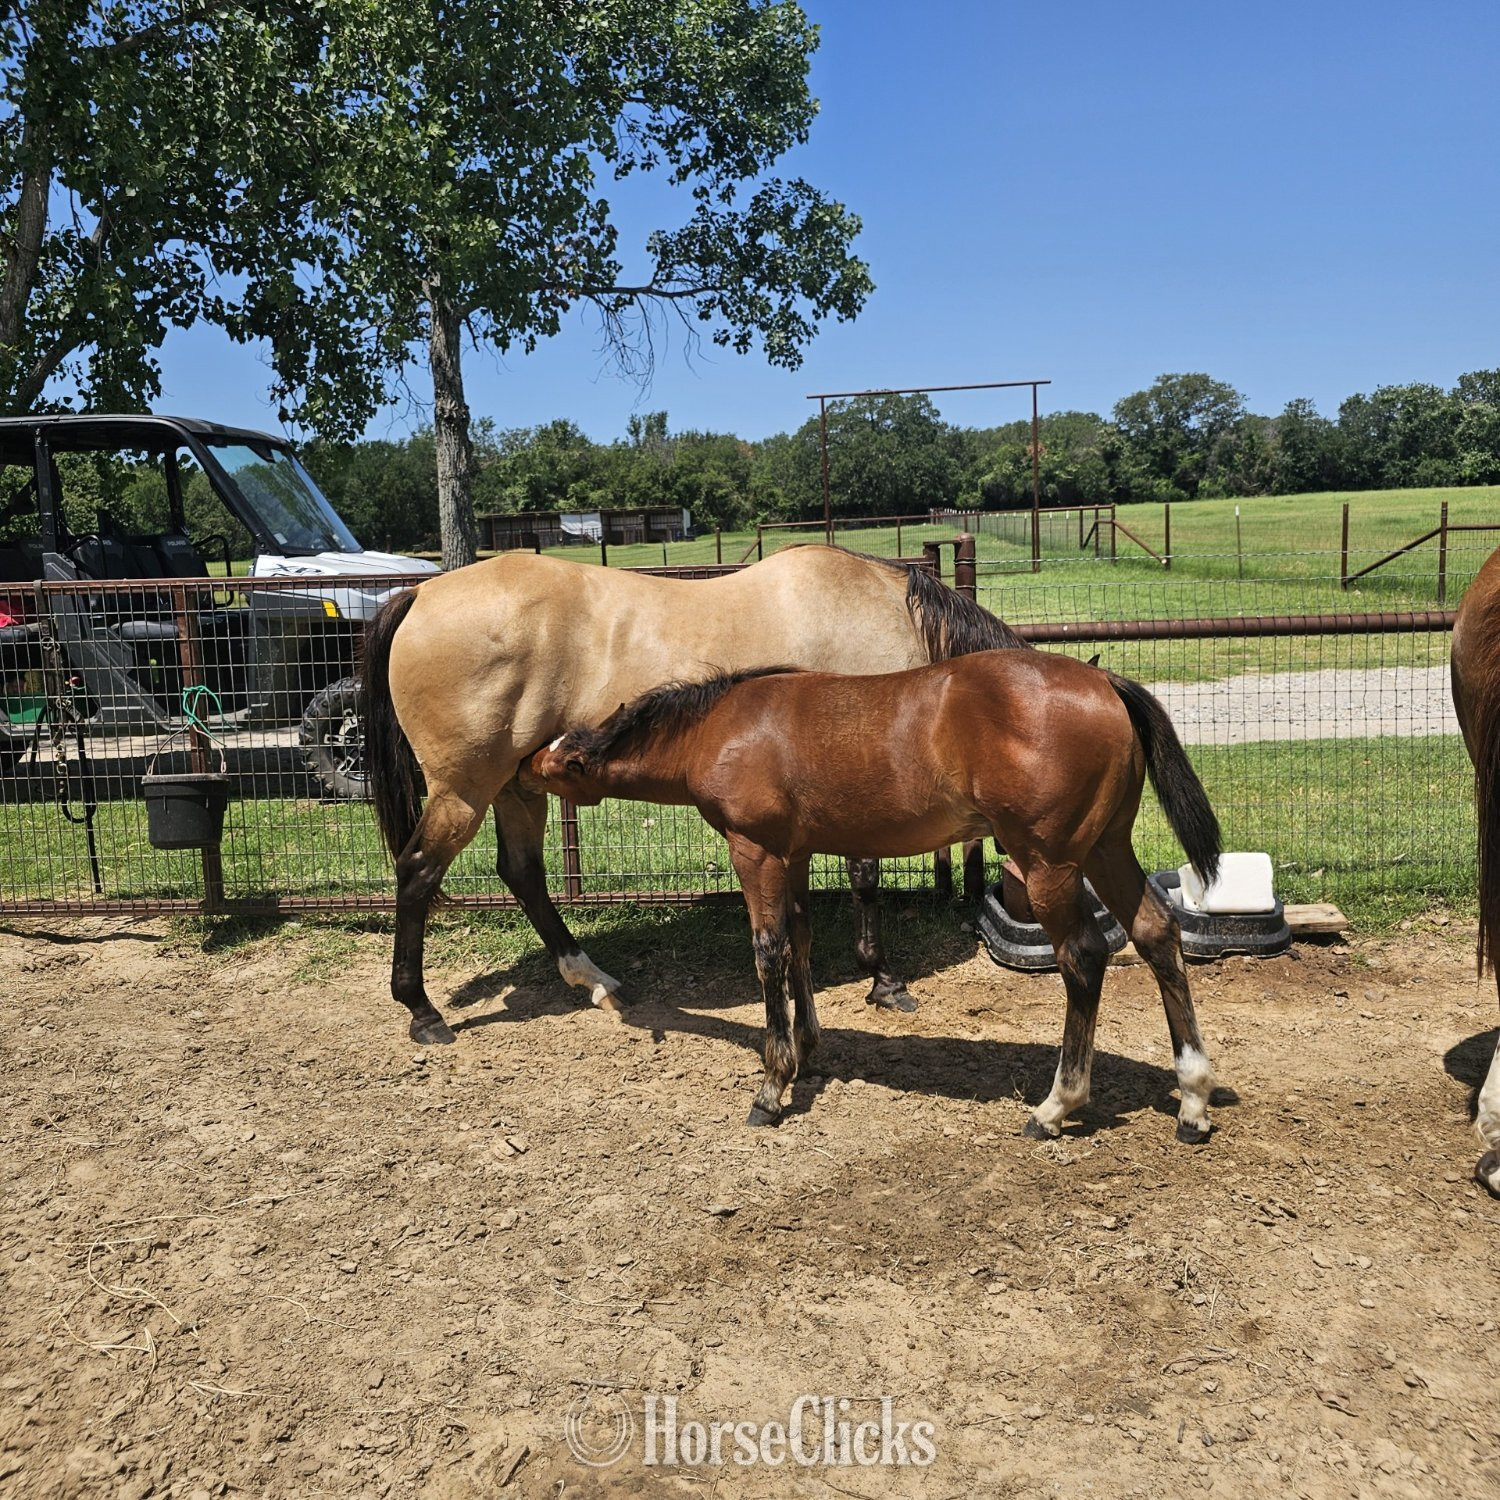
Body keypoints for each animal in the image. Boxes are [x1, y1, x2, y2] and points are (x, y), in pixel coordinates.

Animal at [361, 545, 1027, 1045]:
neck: (881, 615)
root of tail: (422, 594)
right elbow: (865, 876)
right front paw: (884, 980)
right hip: (464, 789)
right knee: (418, 872)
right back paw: (422, 1011)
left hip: (516, 788)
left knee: (522, 872)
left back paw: (592, 978)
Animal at [525, 649, 1224, 1143]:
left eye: (556, 761)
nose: (522, 768)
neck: (721, 727)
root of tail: (1106, 683)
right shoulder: (795, 854)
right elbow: (801, 942)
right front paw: (807, 1049)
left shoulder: (755, 851)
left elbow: (768, 951)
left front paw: (772, 1085)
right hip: (1106, 848)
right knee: (1156, 932)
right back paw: (1192, 1098)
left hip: (1049, 864)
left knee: (1083, 956)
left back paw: (1057, 1105)